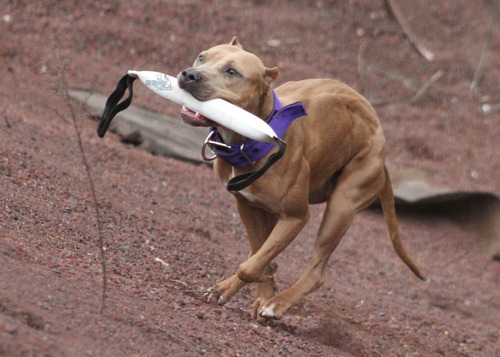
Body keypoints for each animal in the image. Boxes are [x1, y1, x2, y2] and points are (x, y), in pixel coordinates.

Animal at [176, 37, 426, 318]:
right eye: (201, 57)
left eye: (232, 72)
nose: (189, 74)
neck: (251, 138)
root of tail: (382, 150)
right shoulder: (247, 205)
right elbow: (259, 255)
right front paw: (256, 284)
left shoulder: (295, 217)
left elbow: (250, 266)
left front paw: (264, 288)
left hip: (341, 207)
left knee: (316, 272)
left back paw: (277, 303)